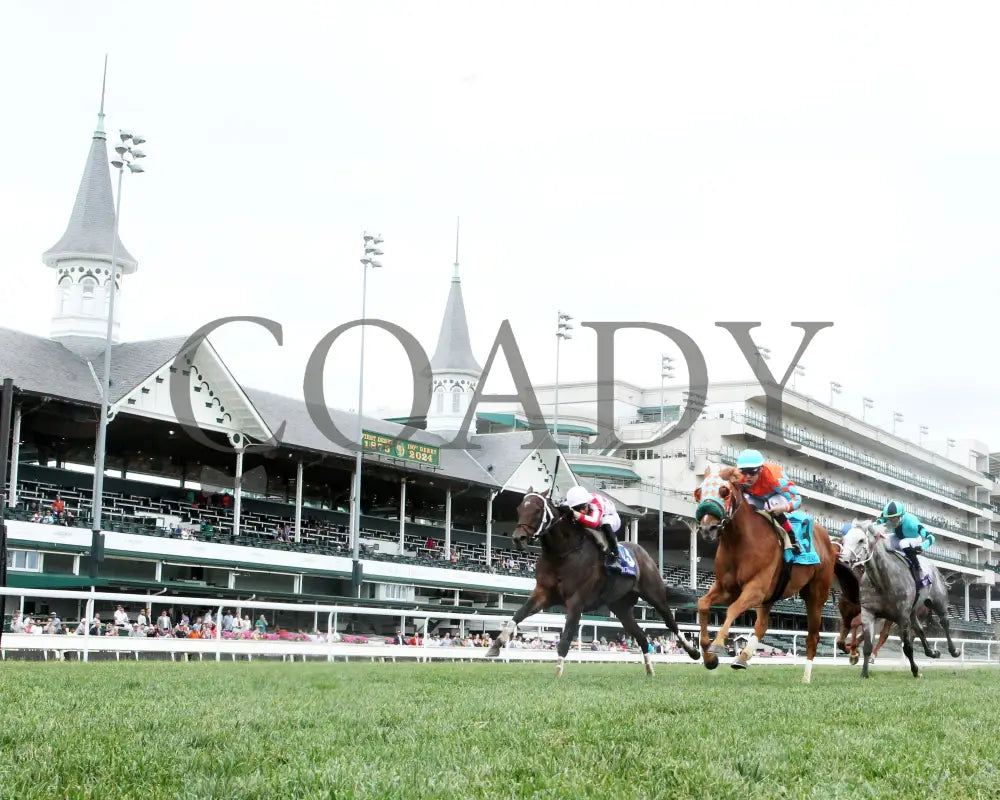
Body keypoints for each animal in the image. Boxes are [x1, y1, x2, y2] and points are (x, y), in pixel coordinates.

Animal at [480, 488, 700, 676]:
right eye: (519, 509)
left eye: (536, 510)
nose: (519, 538)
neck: (562, 554)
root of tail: (644, 554)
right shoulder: (543, 594)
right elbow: (517, 616)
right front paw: (495, 646)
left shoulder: (576, 601)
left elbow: (566, 637)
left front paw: (557, 672)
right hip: (621, 607)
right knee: (641, 636)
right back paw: (650, 670)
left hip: (654, 594)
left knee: (671, 623)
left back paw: (694, 652)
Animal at [692, 462, 856, 680]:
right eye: (699, 492)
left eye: (724, 491)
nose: (707, 528)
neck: (740, 542)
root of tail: (832, 545)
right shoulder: (727, 588)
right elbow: (702, 603)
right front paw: (709, 657)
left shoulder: (755, 588)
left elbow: (733, 608)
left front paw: (717, 645)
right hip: (772, 595)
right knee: (762, 626)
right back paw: (742, 657)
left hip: (816, 594)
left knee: (813, 636)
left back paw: (806, 677)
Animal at [844, 516, 960, 680]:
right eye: (844, 538)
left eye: (861, 540)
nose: (845, 560)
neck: (882, 581)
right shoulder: (868, 613)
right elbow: (867, 645)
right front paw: (864, 673)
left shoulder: (902, 616)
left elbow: (908, 647)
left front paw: (916, 670)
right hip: (913, 611)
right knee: (919, 629)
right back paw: (932, 652)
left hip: (938, 603)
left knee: (944, 623)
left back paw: (953, 650)